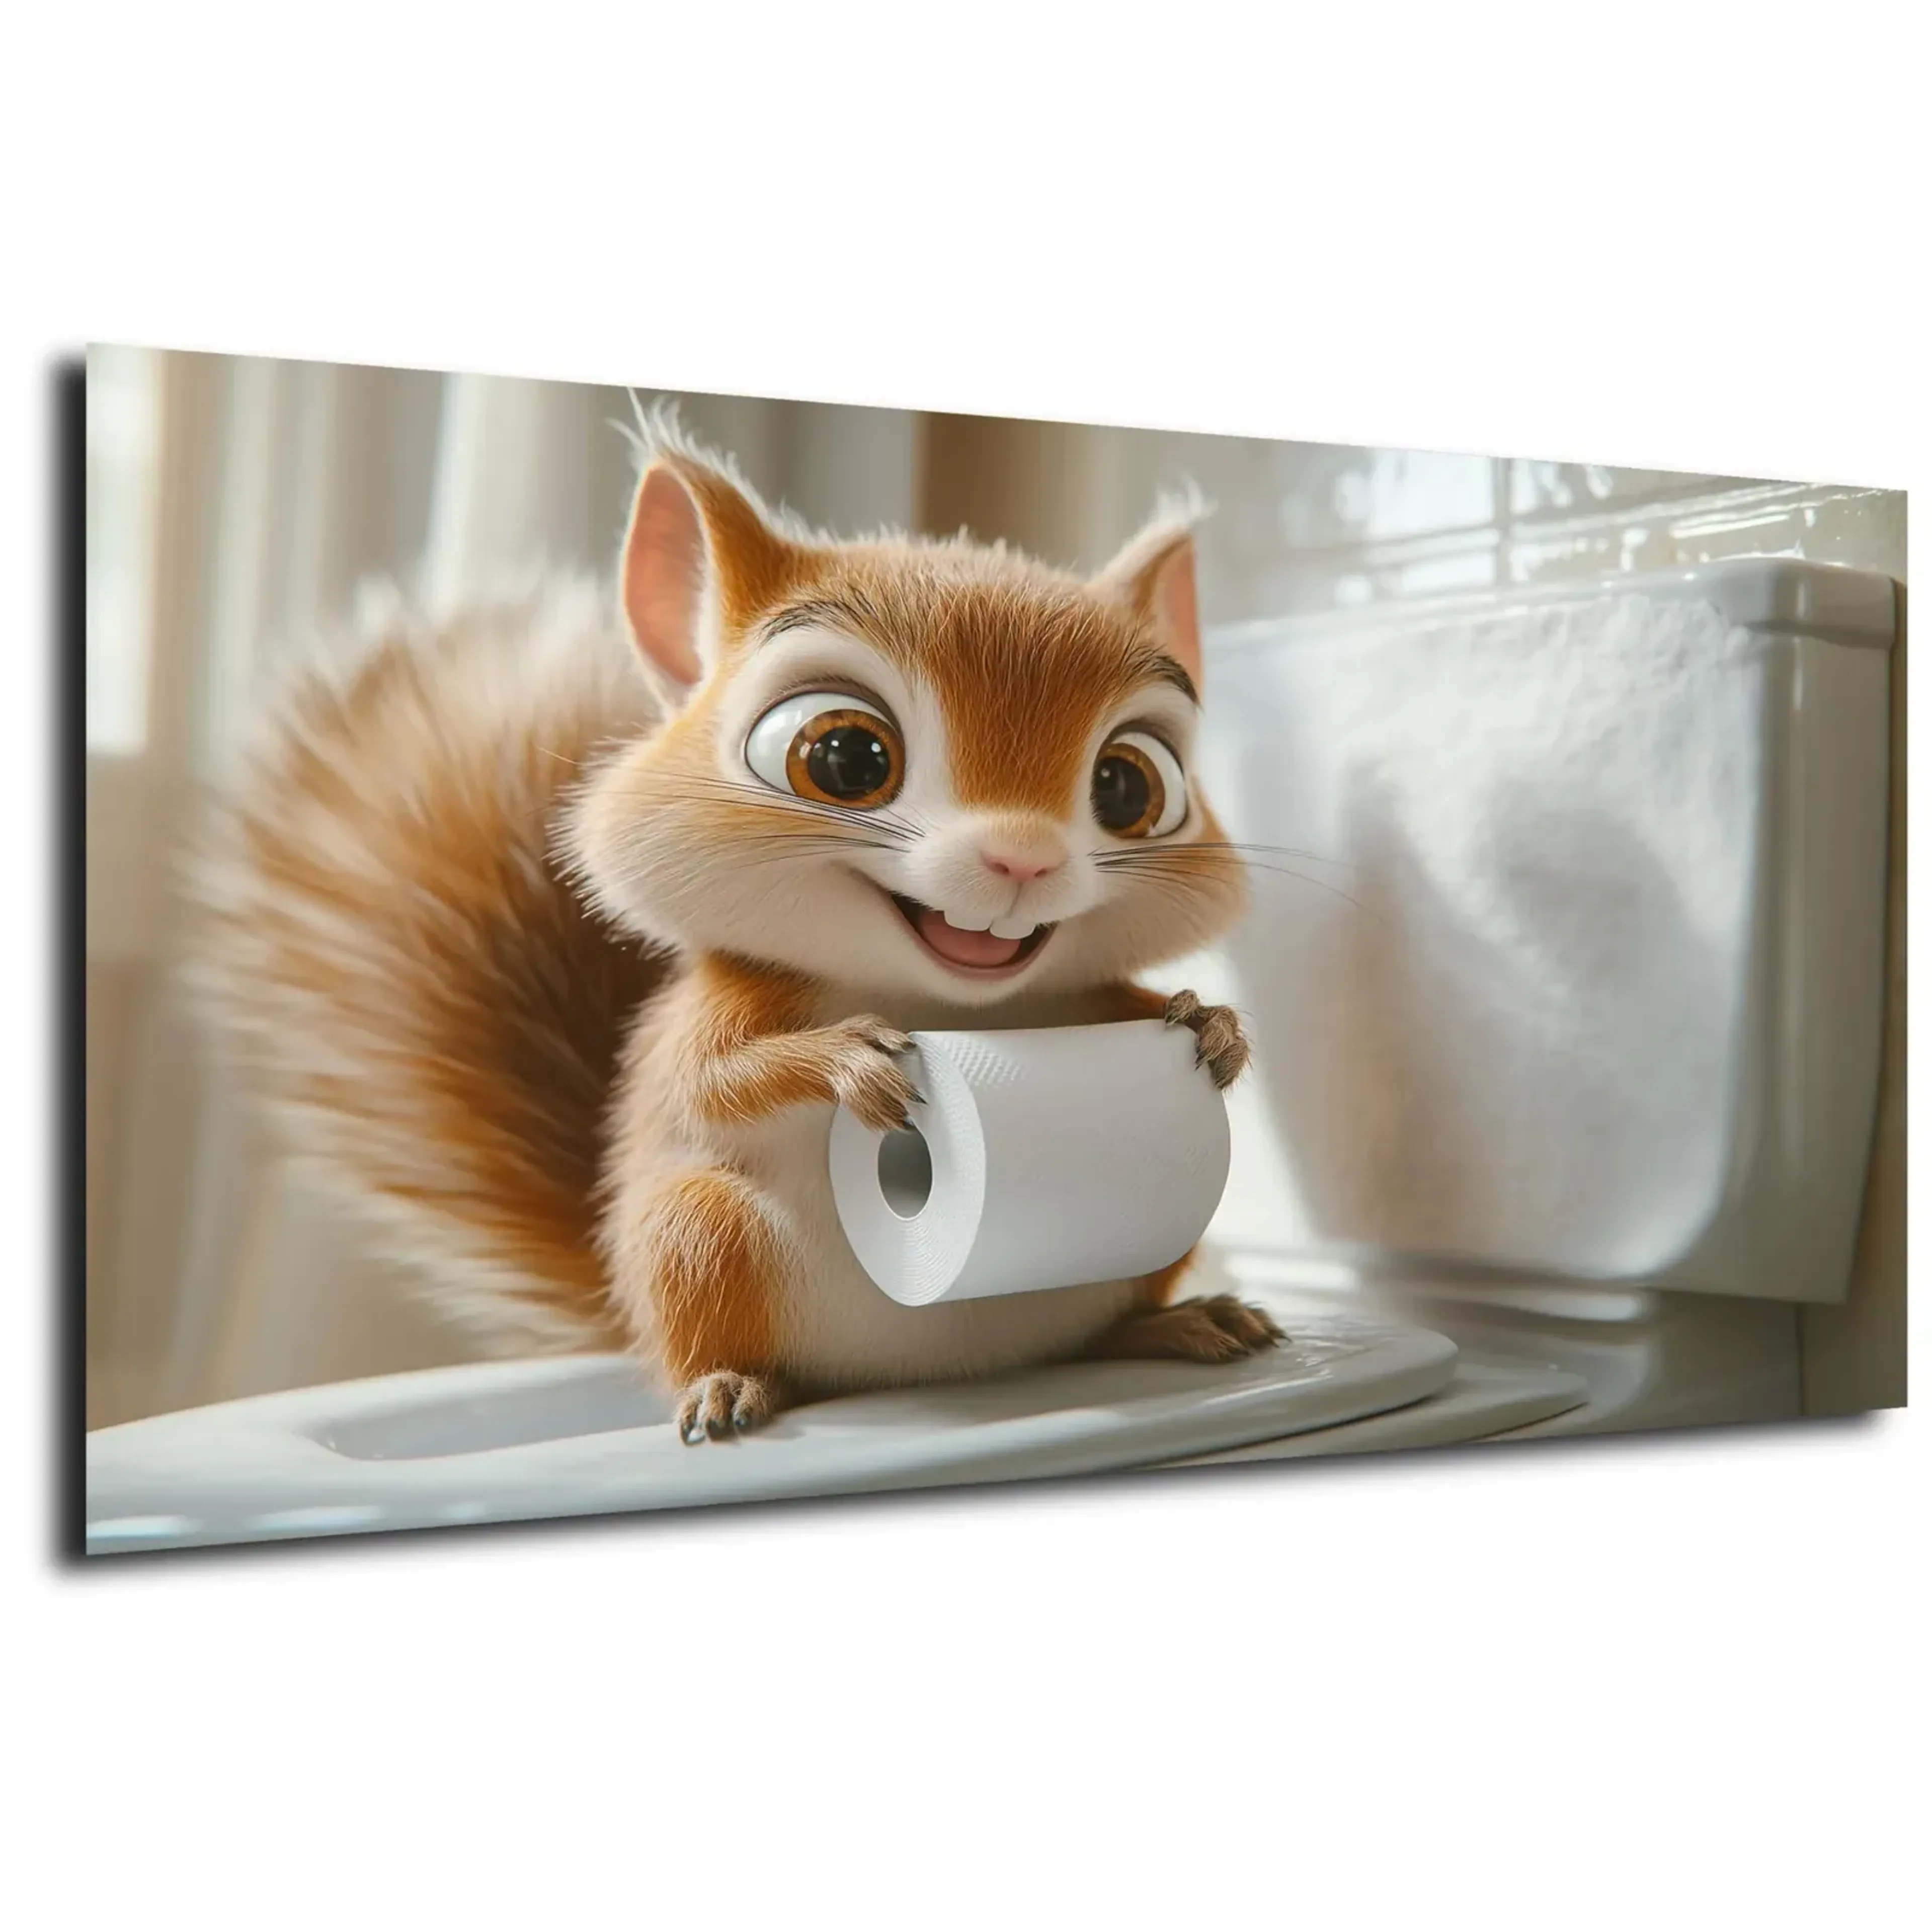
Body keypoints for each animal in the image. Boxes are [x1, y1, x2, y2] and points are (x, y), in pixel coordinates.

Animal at [189, 414, 1282, 1443]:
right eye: (844, 758)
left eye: (1130, 786)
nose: (1023, 861)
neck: (949, 997)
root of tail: (938, 1374)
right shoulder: (717, 1010)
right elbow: (711, 1081)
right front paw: (845, 1062)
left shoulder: (1082, 997)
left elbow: (1140, 1004)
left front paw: (1211, 1025)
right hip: (700, 1238)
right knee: (723, 1324)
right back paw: (732, 1387)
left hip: (1157, 1234)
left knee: (1103, 1321)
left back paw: (1175, 1324)